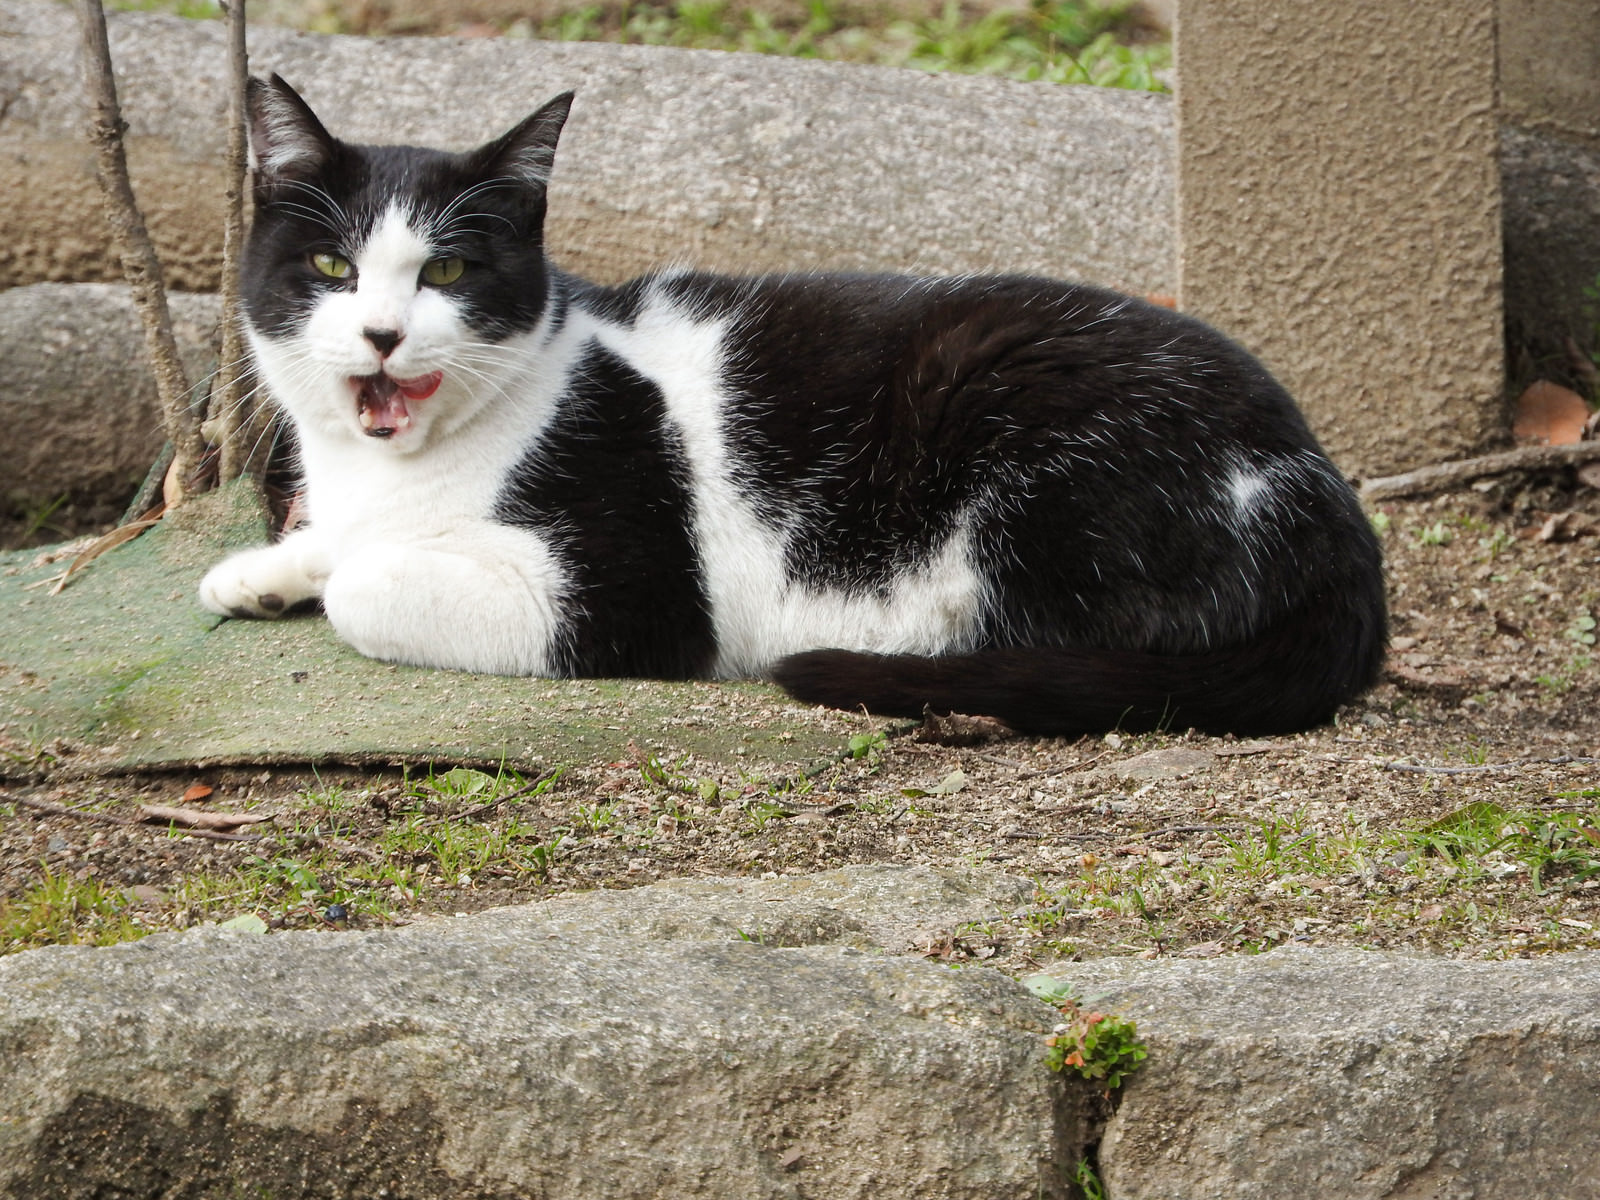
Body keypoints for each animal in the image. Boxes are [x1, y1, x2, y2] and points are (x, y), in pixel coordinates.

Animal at [196, 75, 1388, 739]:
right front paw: (259, 571)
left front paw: (331, 570)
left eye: (444, 271)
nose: (383, 333)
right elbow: (335, 543)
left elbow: (370, 583)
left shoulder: (630, 595)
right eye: (332, 265)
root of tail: (1326, 500)